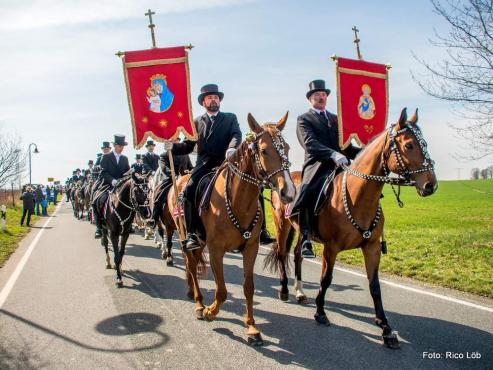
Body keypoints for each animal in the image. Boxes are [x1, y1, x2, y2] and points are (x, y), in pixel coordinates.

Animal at [167, 111, 294, 346]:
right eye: (264, 150)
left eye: (287, 148)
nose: (289, 192)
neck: (236, 201)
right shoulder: (216, 250)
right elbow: (222, 291)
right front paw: (210, 312)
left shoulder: (251, 248)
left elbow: (248, 288)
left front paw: (252, 328)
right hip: (185, 236)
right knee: (191, 266)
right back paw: (199, 304)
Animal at [268, 107, 436, 350]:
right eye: (409, 145)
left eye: (424, 143)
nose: (431, 185)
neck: (358, 197)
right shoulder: (331, 248)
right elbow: (326, 279)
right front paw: (320, 313)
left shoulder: (372, 248)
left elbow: (374, 286)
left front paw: (385, 328)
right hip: (282, 225)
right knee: (282, 254)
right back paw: (284, 291)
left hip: (301, 231)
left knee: (298, 254)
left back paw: (300, 292)